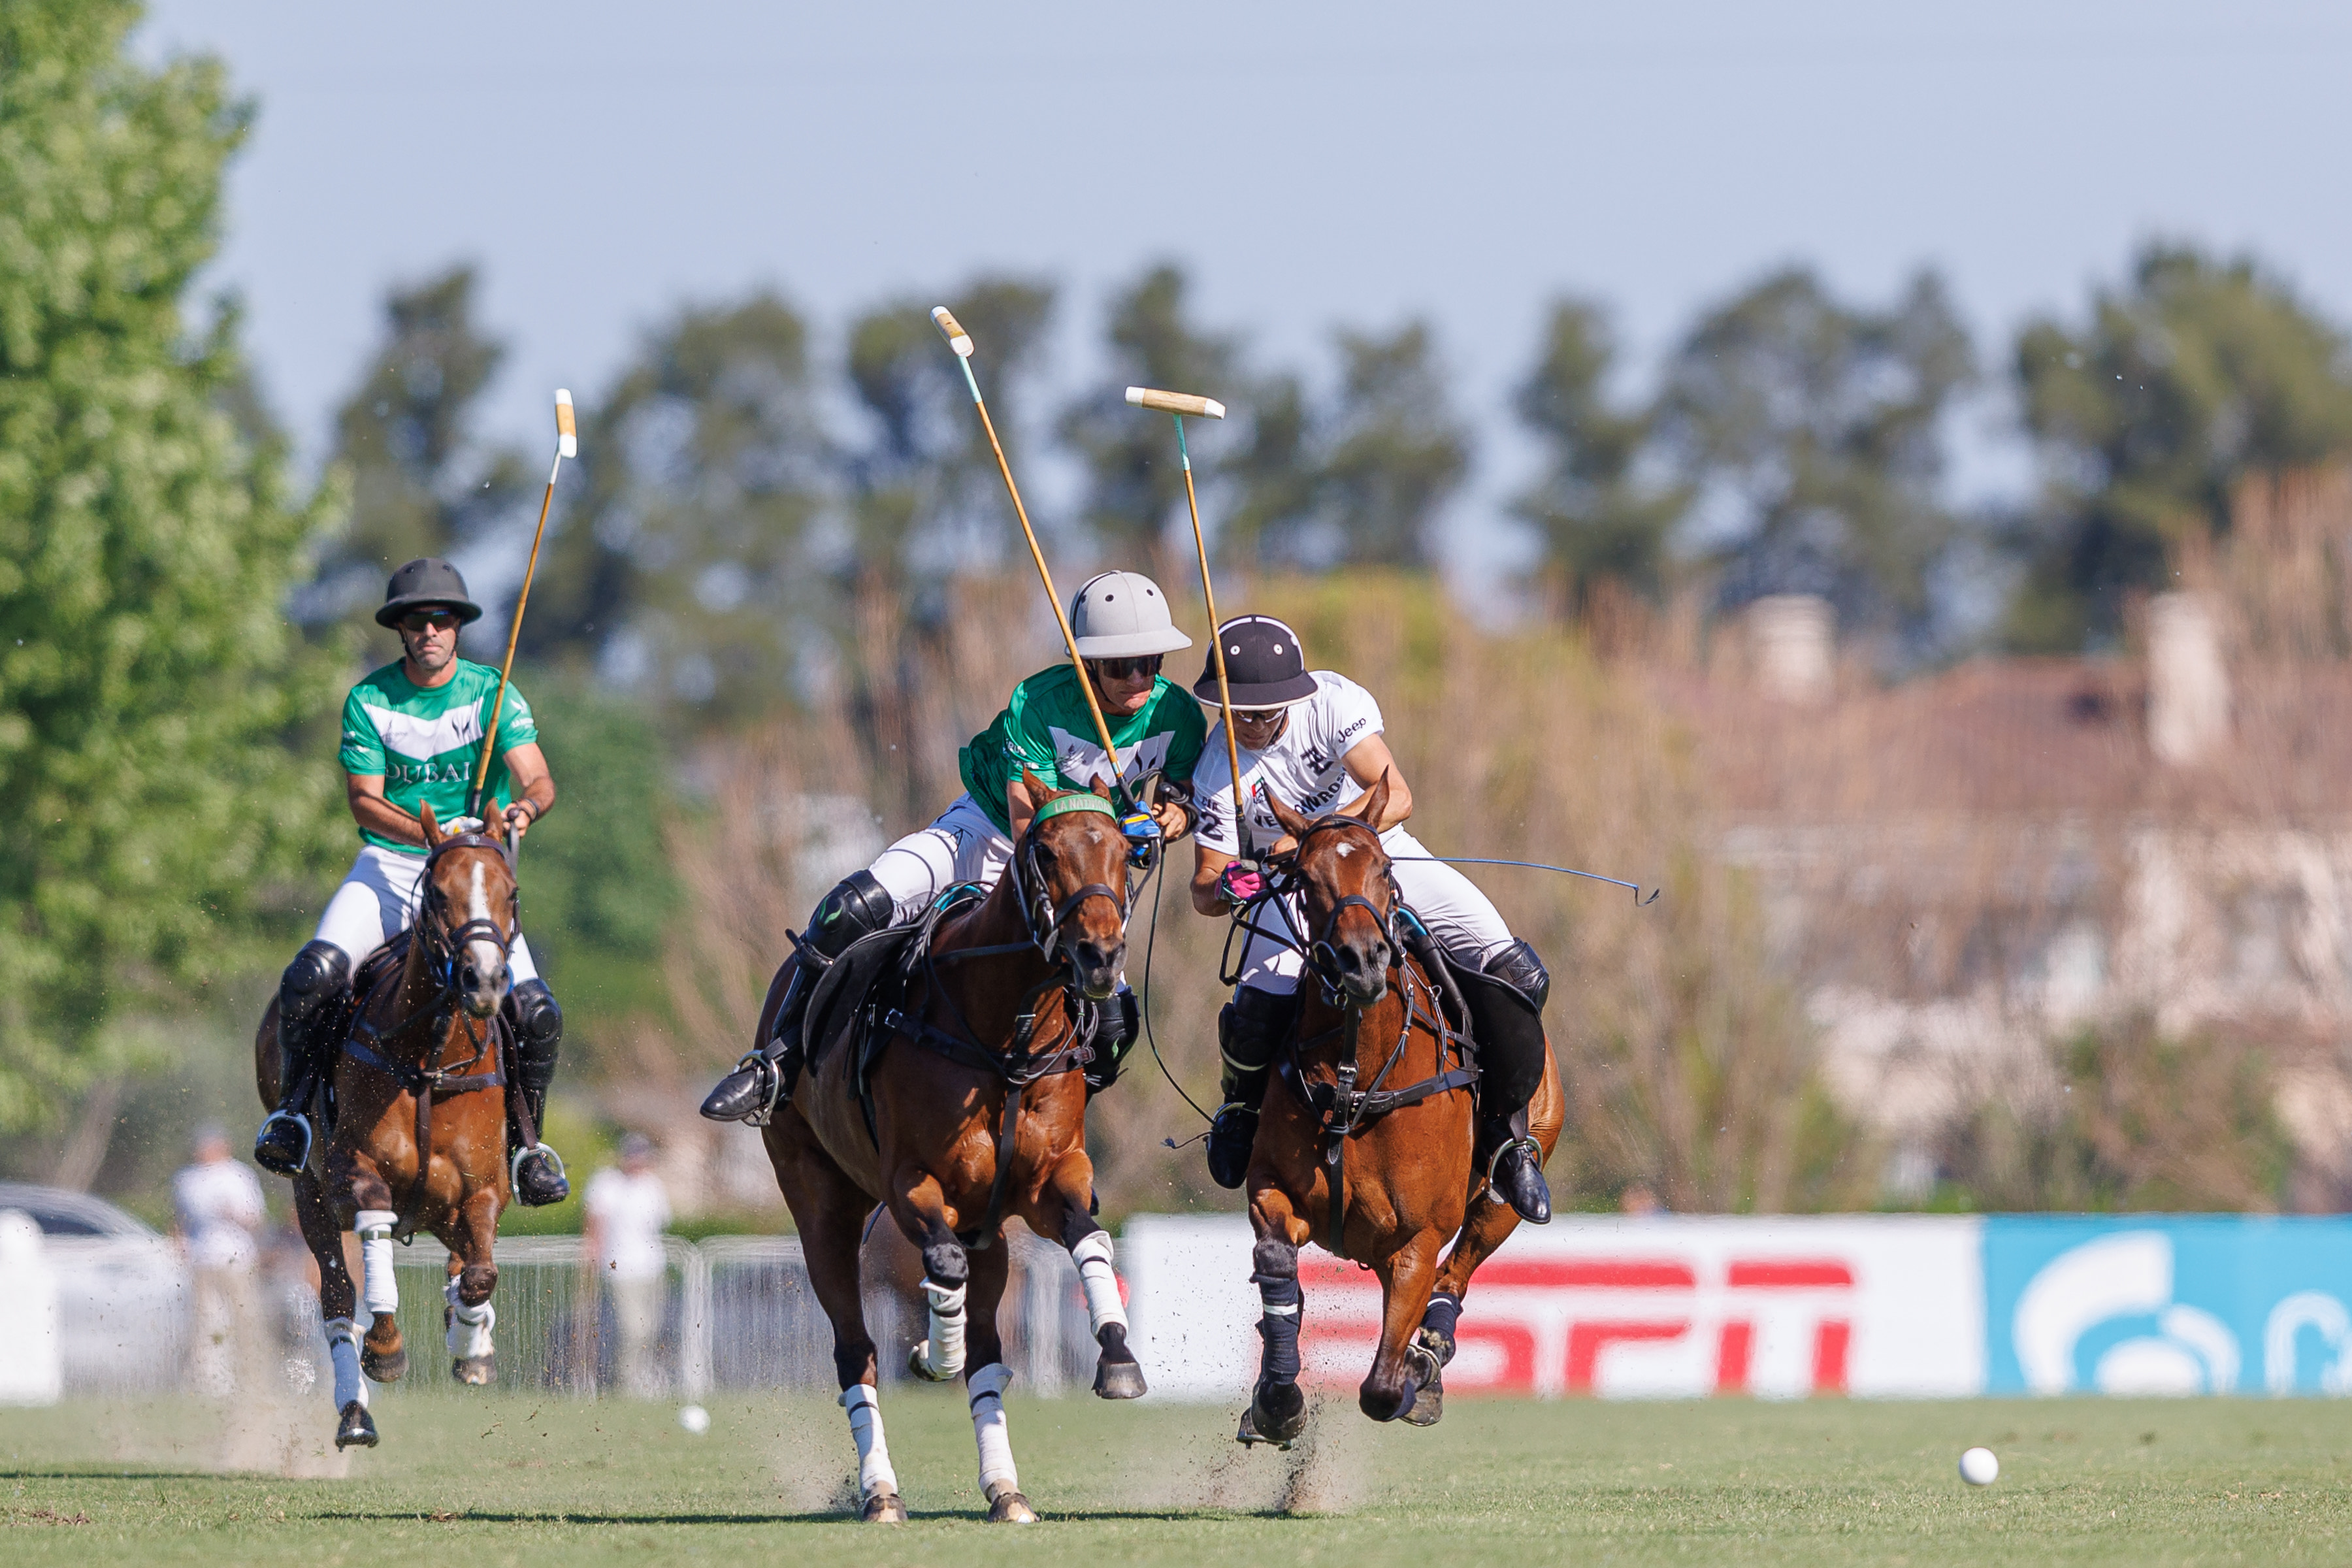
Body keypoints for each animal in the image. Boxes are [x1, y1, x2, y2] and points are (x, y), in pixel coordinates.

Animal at [259, 804, 531, 1457]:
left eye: (511, 892)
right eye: (437, 894)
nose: (484, 981)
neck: (431, 1056)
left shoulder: (485, 1188)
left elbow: (481, 1272)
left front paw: (469, 1341)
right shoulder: (356, 1177)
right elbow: (376, 1256)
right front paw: (385, 1350)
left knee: (463, 1261)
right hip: (308, 1193)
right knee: (336, 1297)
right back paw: (354, 1412)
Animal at [762, 780, 1147, 1523]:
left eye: (1124, 851)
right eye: (1047, 853)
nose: (1100, 957)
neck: (1005, 1034)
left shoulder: (1049, 1179)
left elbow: (1089, 1237)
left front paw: (1118, 1358)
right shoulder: (909, 1180)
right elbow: (940, 1269)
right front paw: (928, 1353)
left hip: (987, 1228)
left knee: (988, 1352)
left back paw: (1006, 1488)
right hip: (821, 1202)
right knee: (856, 1350)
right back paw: (880, 1490)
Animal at [1232, 780, 1561, 1448]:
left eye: (1384, 869)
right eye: (1305, 878)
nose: (1361, 961)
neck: (1356, 1080)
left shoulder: (1417, 1238)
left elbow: (1382, 1390)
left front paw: (1413, 1375)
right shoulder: (1273, 1190)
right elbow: (1276, 1262)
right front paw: (1275, 1402)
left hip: (1509, 1184)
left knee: (1459, 1270)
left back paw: (1429, 1359)